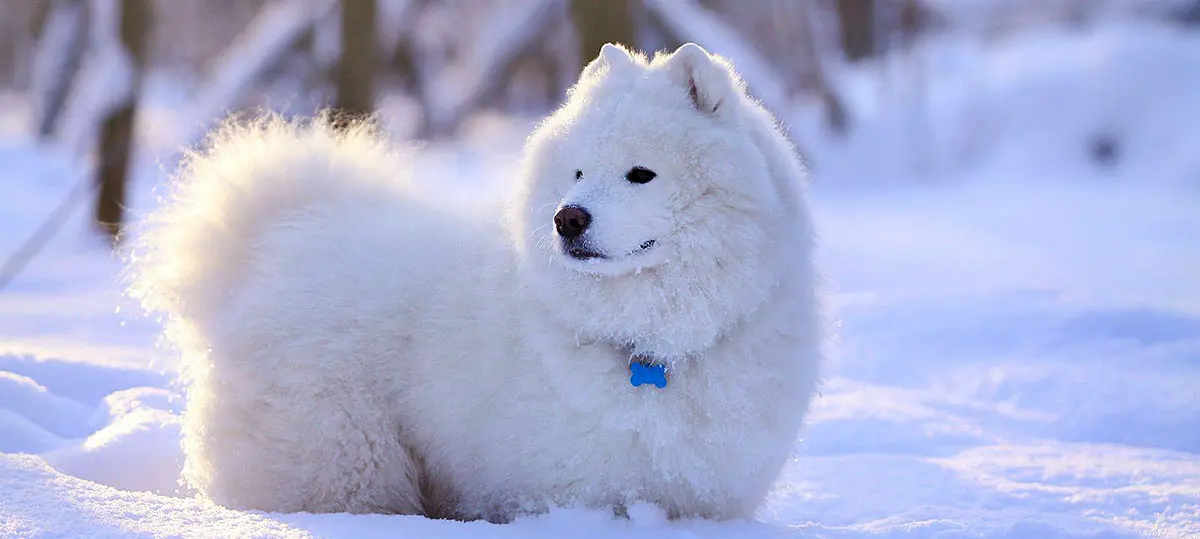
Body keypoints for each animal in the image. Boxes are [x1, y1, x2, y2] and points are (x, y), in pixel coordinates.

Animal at [131, 44, 825, 523]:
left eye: (641, 174)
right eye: (578, 171)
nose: (567, 218)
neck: (651, 346)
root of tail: (273, 239)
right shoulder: (563, 493)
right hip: (342, 456)